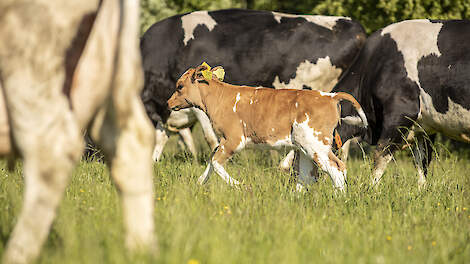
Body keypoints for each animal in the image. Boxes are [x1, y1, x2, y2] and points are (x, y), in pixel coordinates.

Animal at [167, 65, 370, 191]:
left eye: (179, 86)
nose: (168, 103)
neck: (220, 96)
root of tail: (330, 96)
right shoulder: (223, 141)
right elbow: (211, 160)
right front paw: (199, 182)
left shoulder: (234, 139)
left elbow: (216, 163)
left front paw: (241, 186)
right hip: (305, 147)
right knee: (306, 176)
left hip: (316, 145)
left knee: (337, 168)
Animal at [330, 19, 470, 186]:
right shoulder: (424, 127)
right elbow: (421, 162)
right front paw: (421, 190)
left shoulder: (401, 113)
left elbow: (380, 156)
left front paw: (371, 189)